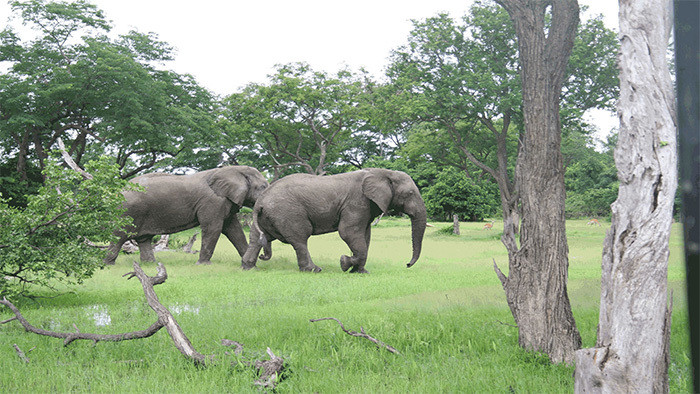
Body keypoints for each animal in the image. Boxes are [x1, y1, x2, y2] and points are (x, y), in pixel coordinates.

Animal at [104, 165, 270, 266]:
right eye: (263, 187)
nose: (262, 257)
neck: (233, 169)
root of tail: (120, 191)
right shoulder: (212, 201)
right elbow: (214, 228)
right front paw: (203, 265)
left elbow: (234, 230)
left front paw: (250, 262)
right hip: (128, 211)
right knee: (120, 236)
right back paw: (107, 265)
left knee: (143, 239)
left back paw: (150, 264)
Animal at [241, 168, 426, 272]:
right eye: (409, 194)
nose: (407, 265)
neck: (382, 173)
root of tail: (260, 201)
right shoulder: (356, 202)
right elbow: (348, 232)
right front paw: (344, 263)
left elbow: (365, 236)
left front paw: (360, 272)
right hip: (287, 212)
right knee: (300, 238)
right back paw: (314, 270)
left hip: (267, 216)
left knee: (257, 239)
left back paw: (249, 268)